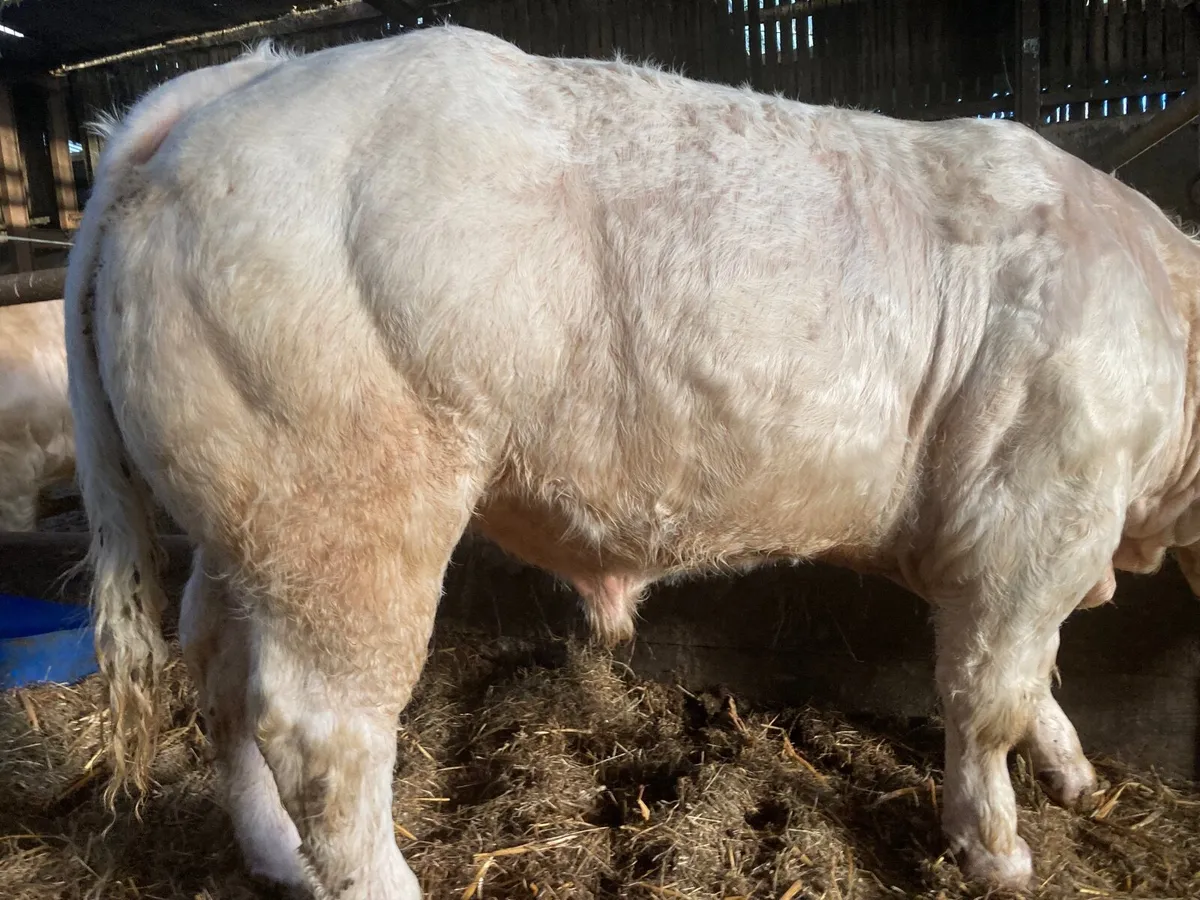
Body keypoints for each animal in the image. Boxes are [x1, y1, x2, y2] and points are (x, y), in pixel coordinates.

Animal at [64, 25, 1200, 899]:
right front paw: (999, 851)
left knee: (216, 670)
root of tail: (227, 86)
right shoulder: (1036, 514)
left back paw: (274, 860)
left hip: (243, 526)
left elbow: (1031, 680)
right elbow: (990, 693)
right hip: (346, 516)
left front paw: (1072, 775)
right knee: (323, 733)